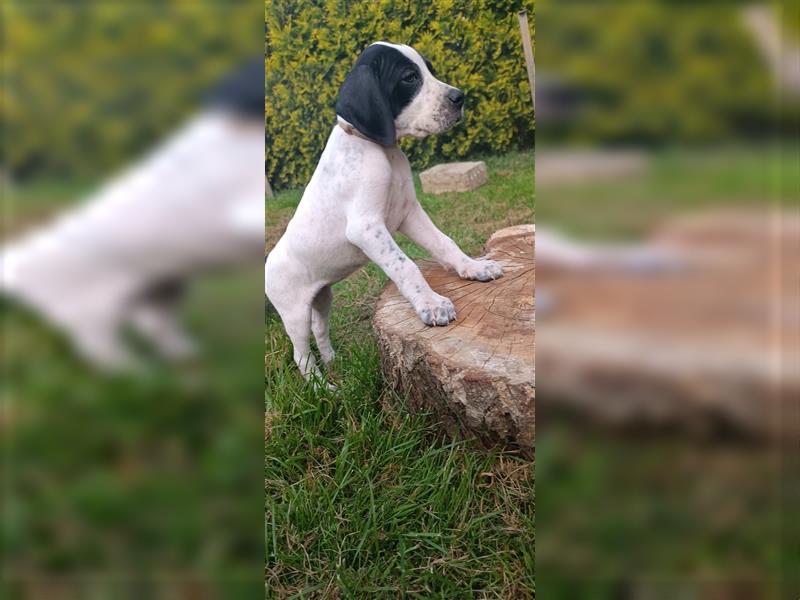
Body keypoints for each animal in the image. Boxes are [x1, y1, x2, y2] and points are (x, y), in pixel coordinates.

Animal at [0, 61, 266, 370]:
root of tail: (19, 267)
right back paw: (141, 373)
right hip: (92, 310)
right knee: (101, 349)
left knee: (153, 323)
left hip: (162, 283)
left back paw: (185, 358)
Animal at [266, 44, 504, 386]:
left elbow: (444, 242)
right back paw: (325, 388)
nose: (460, 97)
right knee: (301, 355)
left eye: (429, 69)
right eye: (409, 78)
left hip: (322, 299)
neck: (382, 150)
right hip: (294, 313)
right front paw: (431, 305)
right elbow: (405, 266)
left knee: (320, 332)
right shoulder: (366, 228)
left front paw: (474, 267)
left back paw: (334, 361)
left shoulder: (409, 212)